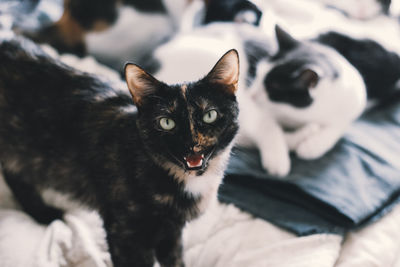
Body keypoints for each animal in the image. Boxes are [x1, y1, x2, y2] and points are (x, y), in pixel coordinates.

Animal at [0, 33, 239, 267]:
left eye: (209, 115)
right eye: (166, 122)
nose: (191, 143)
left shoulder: (171, 232)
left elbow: (176, 260)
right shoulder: (124, 233)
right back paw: (43, 213)